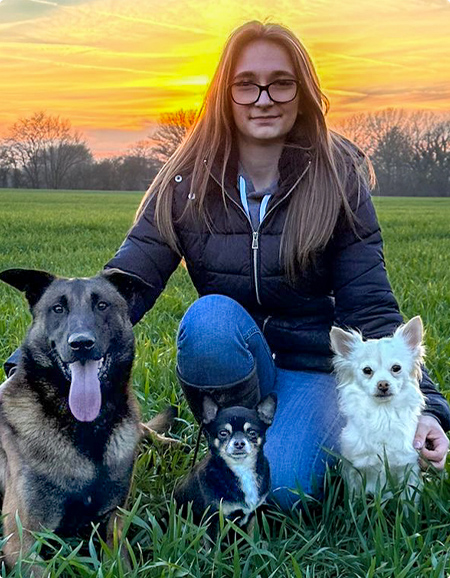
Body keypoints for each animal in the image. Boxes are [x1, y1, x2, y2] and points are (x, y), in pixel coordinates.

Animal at [0, 267, 173, 575]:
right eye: (57, 308)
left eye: (102, 305)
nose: (81, 344)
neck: (85, 429)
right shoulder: (20, 542)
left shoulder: (115, 517)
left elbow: (119, 561)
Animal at [174, 393, 277, 538]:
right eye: (223, 433)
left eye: (252, 433)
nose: (239, 443)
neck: (241, 469)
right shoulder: (213, 519)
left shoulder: (253, 514)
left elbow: (252, 539)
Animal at [330, 316, 426, 498]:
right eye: (367, 370)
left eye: (396, 368)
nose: (383, 384)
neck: (383, 413)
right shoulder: (355, 470)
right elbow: (354, 500)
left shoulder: (408, 468)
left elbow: (409, 499)